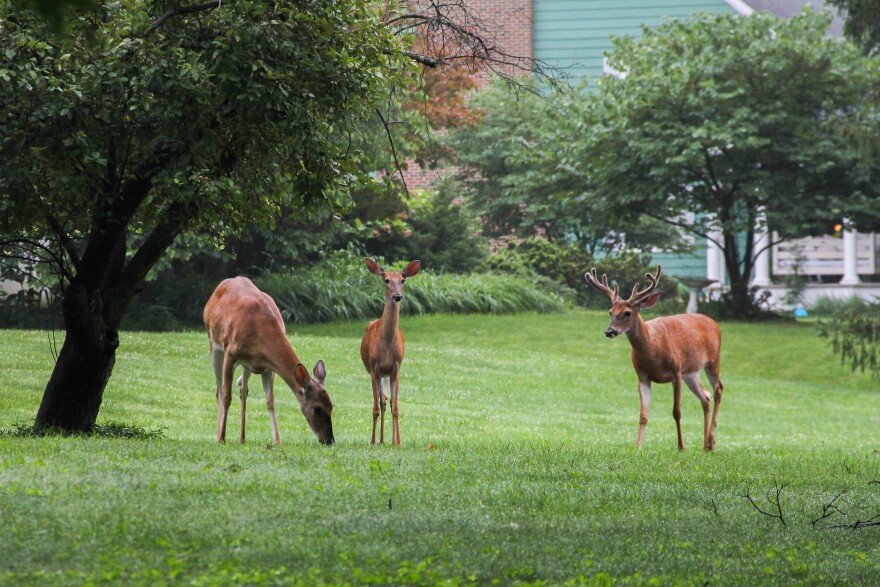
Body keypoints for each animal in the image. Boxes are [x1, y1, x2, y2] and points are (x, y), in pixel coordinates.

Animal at [203, 276, 334, 446]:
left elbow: (270, 401)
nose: (329, 440)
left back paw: (242, 438)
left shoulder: (268, 368)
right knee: (219, 390)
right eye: (317, 408)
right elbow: (226, 396)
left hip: (246, 365)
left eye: (331, 406)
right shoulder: (230, 354)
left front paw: (277, 440)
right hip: (214, 344)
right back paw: (219, 436)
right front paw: (221, 438)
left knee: (243, 390)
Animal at [360, 258, 420, 446]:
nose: (397, 296)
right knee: (382, 402)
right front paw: (372, 441)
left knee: (389, 402)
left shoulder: (396, 368)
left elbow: (396, 408)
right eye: (386, 280)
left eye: (403, 280)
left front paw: (397, 442)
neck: (386, 345)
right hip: (378, 374)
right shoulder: (374, 369)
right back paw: (380, 440)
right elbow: (375, 408)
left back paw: (389, 440)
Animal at [584, 265, 723, 451]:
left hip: (713, 360)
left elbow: (677, 412)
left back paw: (711, 440)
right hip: (691, 372)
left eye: (627, 312)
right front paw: (637, 446)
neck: (653, 349)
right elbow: (643, 414)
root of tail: (713, 322)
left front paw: (681, 447)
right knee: (706, 397)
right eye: (610, 312)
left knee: (718, 389)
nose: (609, 331)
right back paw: (706, 445)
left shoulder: (676, 371)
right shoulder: (642, 376)